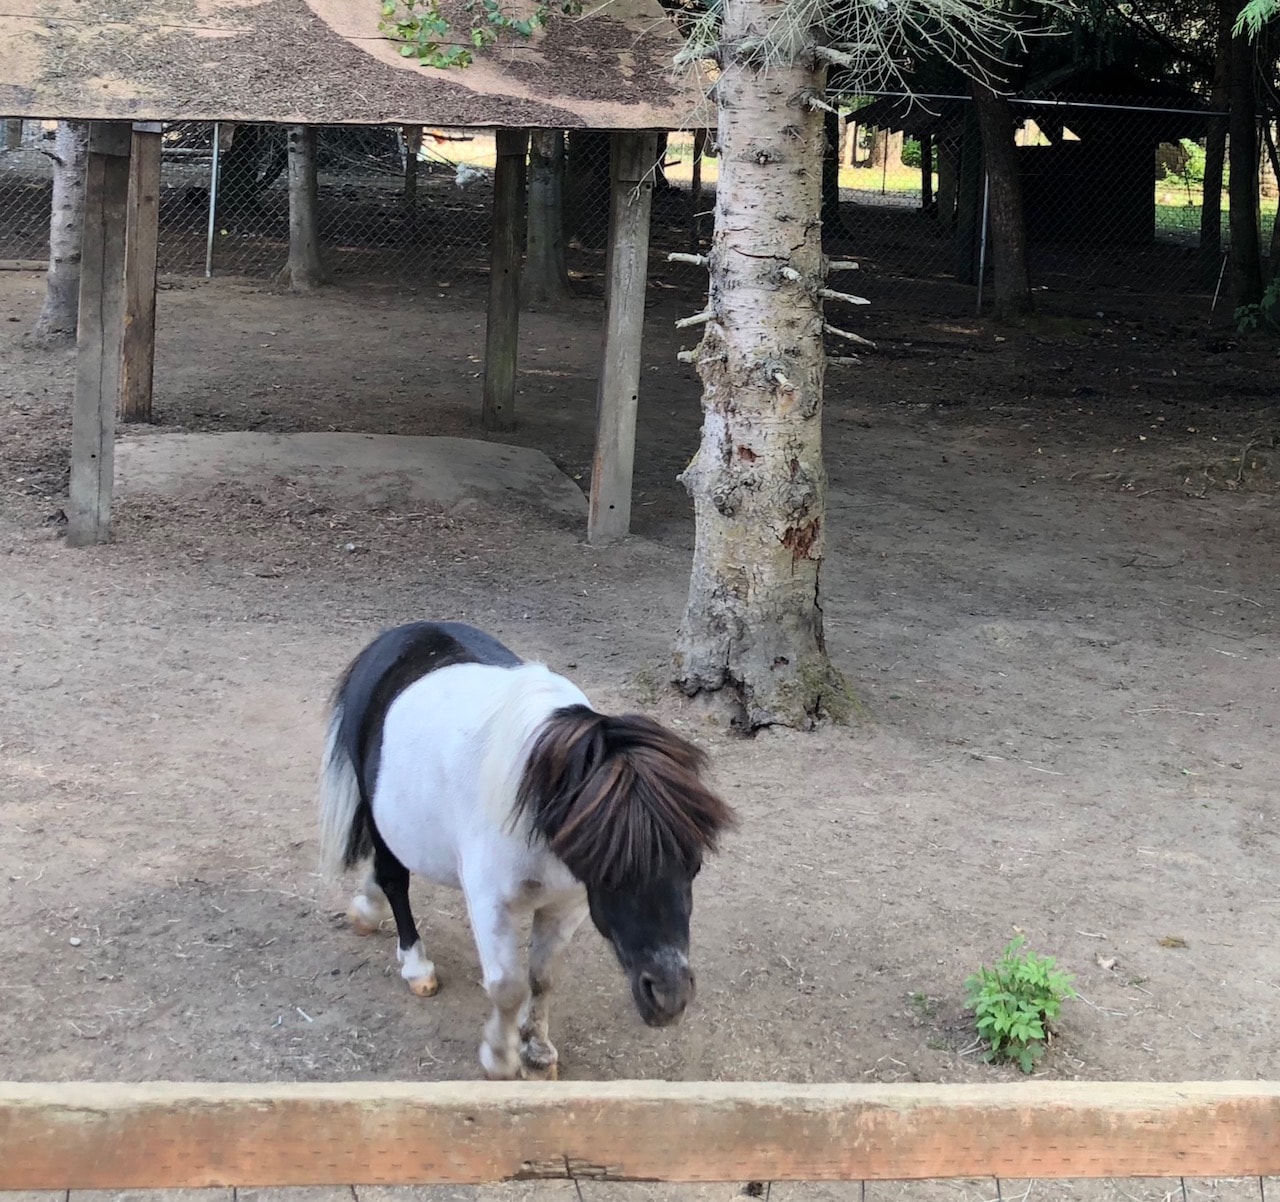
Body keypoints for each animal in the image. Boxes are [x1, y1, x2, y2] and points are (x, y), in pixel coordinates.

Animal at [316, 619, 737, 1080]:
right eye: (611, 873)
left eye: (694, 867)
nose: (669, 997)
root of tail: (396, 637)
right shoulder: (491, 904)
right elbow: (508, 987)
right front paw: (500, 1057)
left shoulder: (566, 905)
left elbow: (542, 978)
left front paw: (537, 1052)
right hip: (378, 813)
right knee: (394, 880)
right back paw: (415, 966)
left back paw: (365, 910)